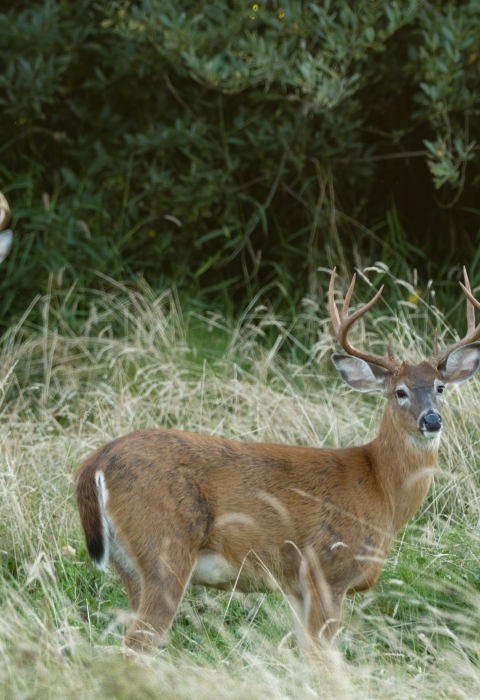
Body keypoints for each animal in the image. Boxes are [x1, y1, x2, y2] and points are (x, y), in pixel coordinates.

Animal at [75, 268, 480, 654]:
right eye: (400, 392)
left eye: (441, 388)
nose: (432, 420)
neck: (380, 488)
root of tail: (95, 463)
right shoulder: (326, 569)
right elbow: (324, 659)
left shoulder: (295, 587)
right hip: (164, 550)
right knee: (134, 646)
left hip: (129, 566)